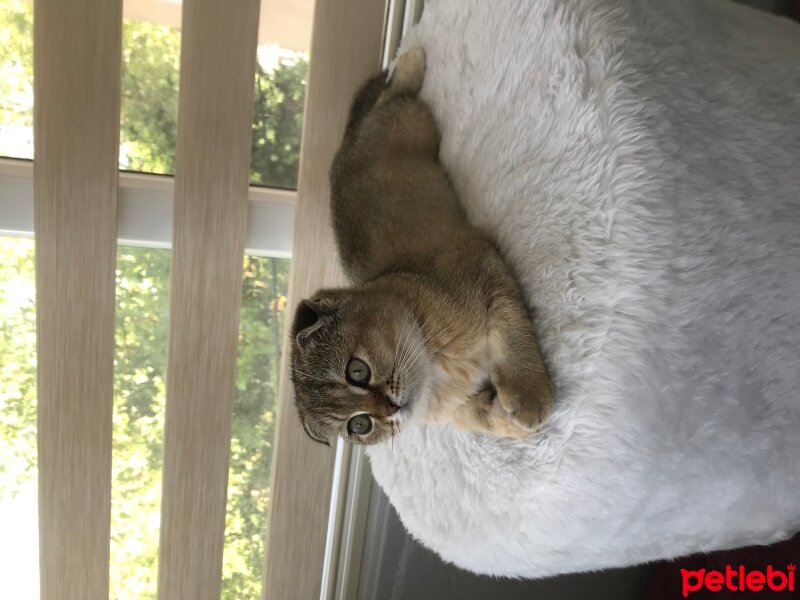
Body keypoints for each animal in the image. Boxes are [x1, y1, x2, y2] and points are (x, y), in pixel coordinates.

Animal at [290, 49, 556, 446]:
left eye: (357, 371)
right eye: (359, 425)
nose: (389, 409)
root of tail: (344, 145)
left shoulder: (485, 269)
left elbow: (513, 332)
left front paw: (528, 392)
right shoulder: (465, 405)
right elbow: (488, 419)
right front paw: (519, 422)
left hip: (413, 120)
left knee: (391, 93)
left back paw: (410, 59)